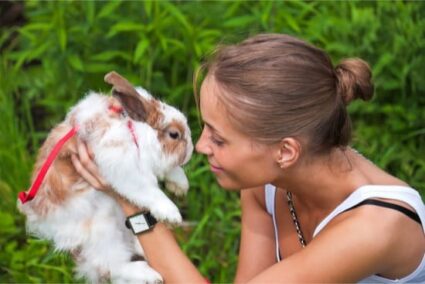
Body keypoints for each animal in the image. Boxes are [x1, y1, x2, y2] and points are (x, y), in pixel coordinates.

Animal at [17, 71, 194, 284]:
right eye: (174, 134)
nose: (191, 151)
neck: (133, 132)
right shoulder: (125, 172)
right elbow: (150, 192)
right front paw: (172, 214)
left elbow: (170, 170)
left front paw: (180, 185)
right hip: (104, 233)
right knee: (110, 267)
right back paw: (149, 275)